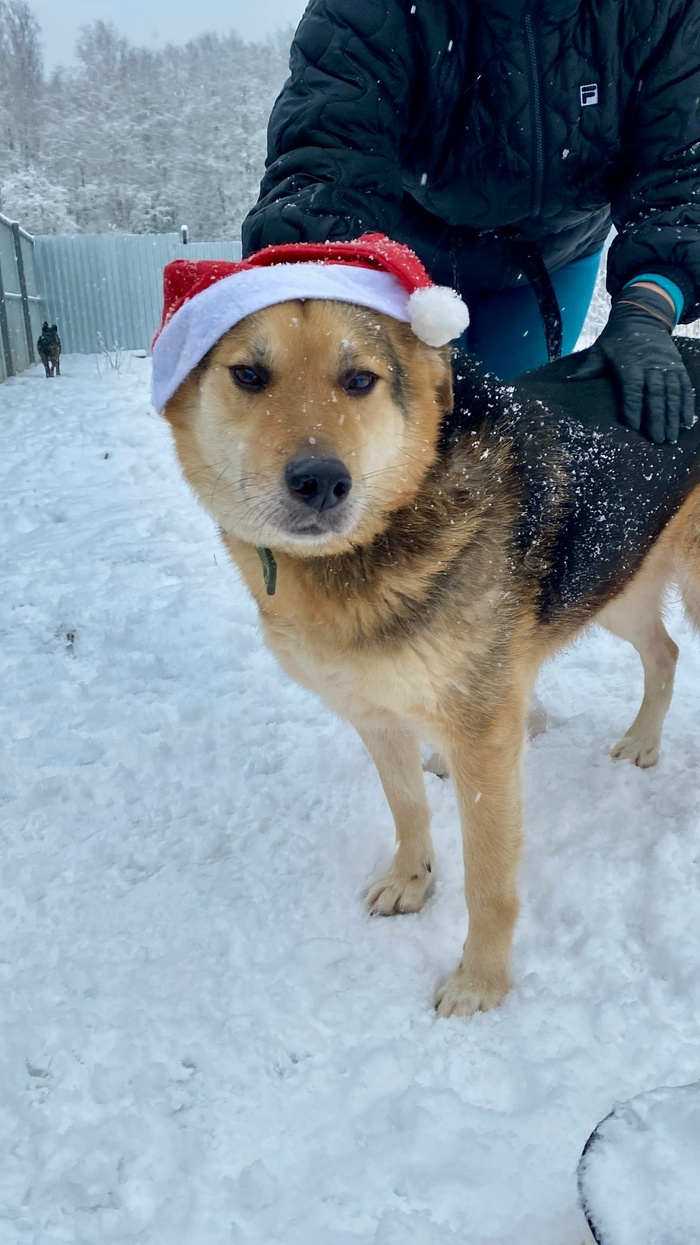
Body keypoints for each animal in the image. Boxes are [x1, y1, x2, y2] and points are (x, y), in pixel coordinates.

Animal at [160, 298, 700, 1018]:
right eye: (248, 374)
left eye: (360, 380)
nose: (321, 482)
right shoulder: (374, 712)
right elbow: (408, 806)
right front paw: (411, 881)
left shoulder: (484, 737)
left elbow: (489, 878)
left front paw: (481, 982)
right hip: (614, 578)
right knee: (664, 650)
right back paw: (641, 741)